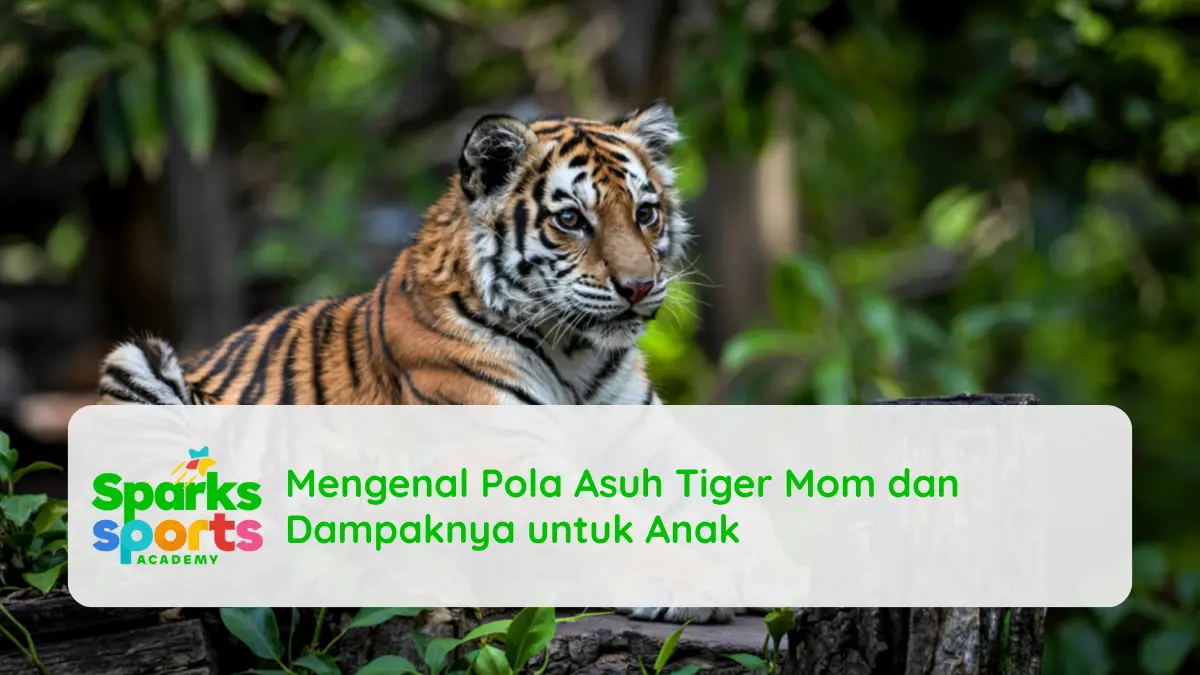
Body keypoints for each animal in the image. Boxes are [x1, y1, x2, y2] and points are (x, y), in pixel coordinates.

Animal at [96, 101, 737, 625]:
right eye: (571, 219)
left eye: (646, 213)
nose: (638, 287)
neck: (573, 353)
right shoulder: (504, 461)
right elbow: (599, 526)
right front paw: (690, 582)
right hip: (133, 362)